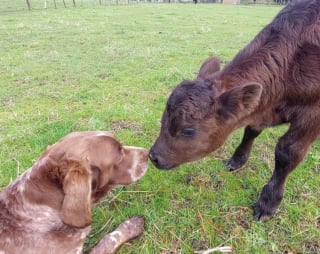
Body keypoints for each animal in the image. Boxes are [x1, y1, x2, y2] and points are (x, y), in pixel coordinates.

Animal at [149, 0, 320, 220]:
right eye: (163, 119)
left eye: (188, 131)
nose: (153, 156)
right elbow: (251, 130)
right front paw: (237, 160)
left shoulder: (312, 113)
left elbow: (287, 152)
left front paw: (268, 202)